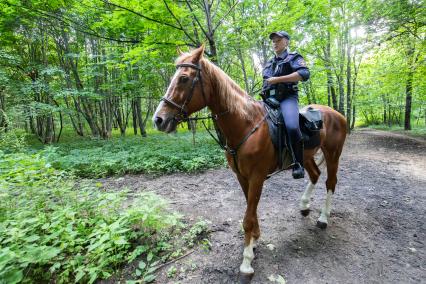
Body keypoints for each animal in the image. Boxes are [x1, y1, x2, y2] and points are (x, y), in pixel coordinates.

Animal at [152, 46, 346, 280]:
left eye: (183, 78)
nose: (158, 119)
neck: (246, 124)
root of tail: (337, 114)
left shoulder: (257, 178)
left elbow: (247, 218)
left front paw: (246, 263)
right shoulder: (242, 177)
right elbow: (250, 212)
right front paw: (254, 242)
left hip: (333, 154)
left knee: (330, 183)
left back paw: (323, 219)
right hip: (306, 157)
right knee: (315, 175)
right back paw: (304, 206)